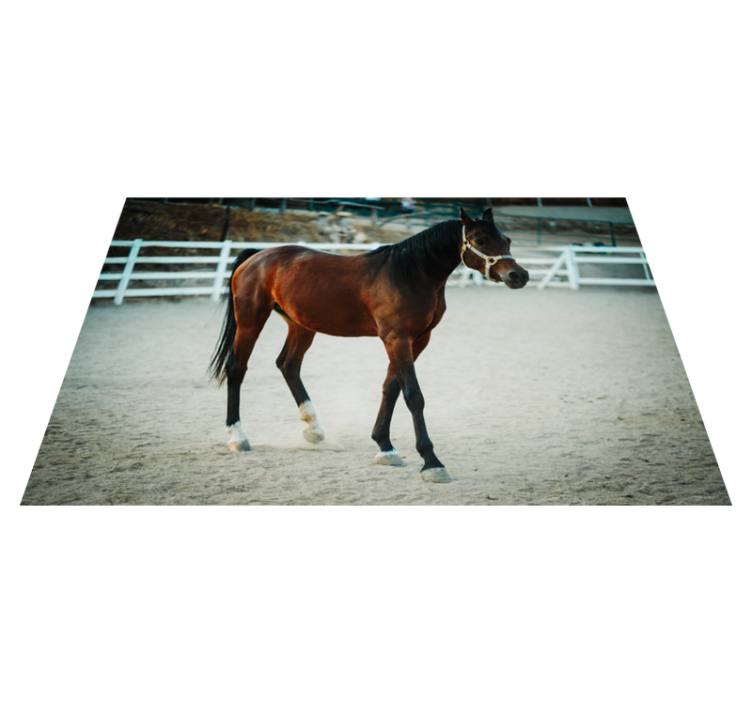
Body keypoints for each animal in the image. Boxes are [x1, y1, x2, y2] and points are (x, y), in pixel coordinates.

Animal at [209, 208, 529, 482]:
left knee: (288, 365)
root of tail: (257, 256)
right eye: (480, 240)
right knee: (237, 369)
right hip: (251, 319)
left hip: (301, 326)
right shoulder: (396, 338)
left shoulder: (417, 340)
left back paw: (314, 429)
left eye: (507, 240)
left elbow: (392, 388)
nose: (519, 275)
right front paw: (431, 462)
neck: (411, 274)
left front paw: (385, 447)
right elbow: (413, 395)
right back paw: (237, 437)